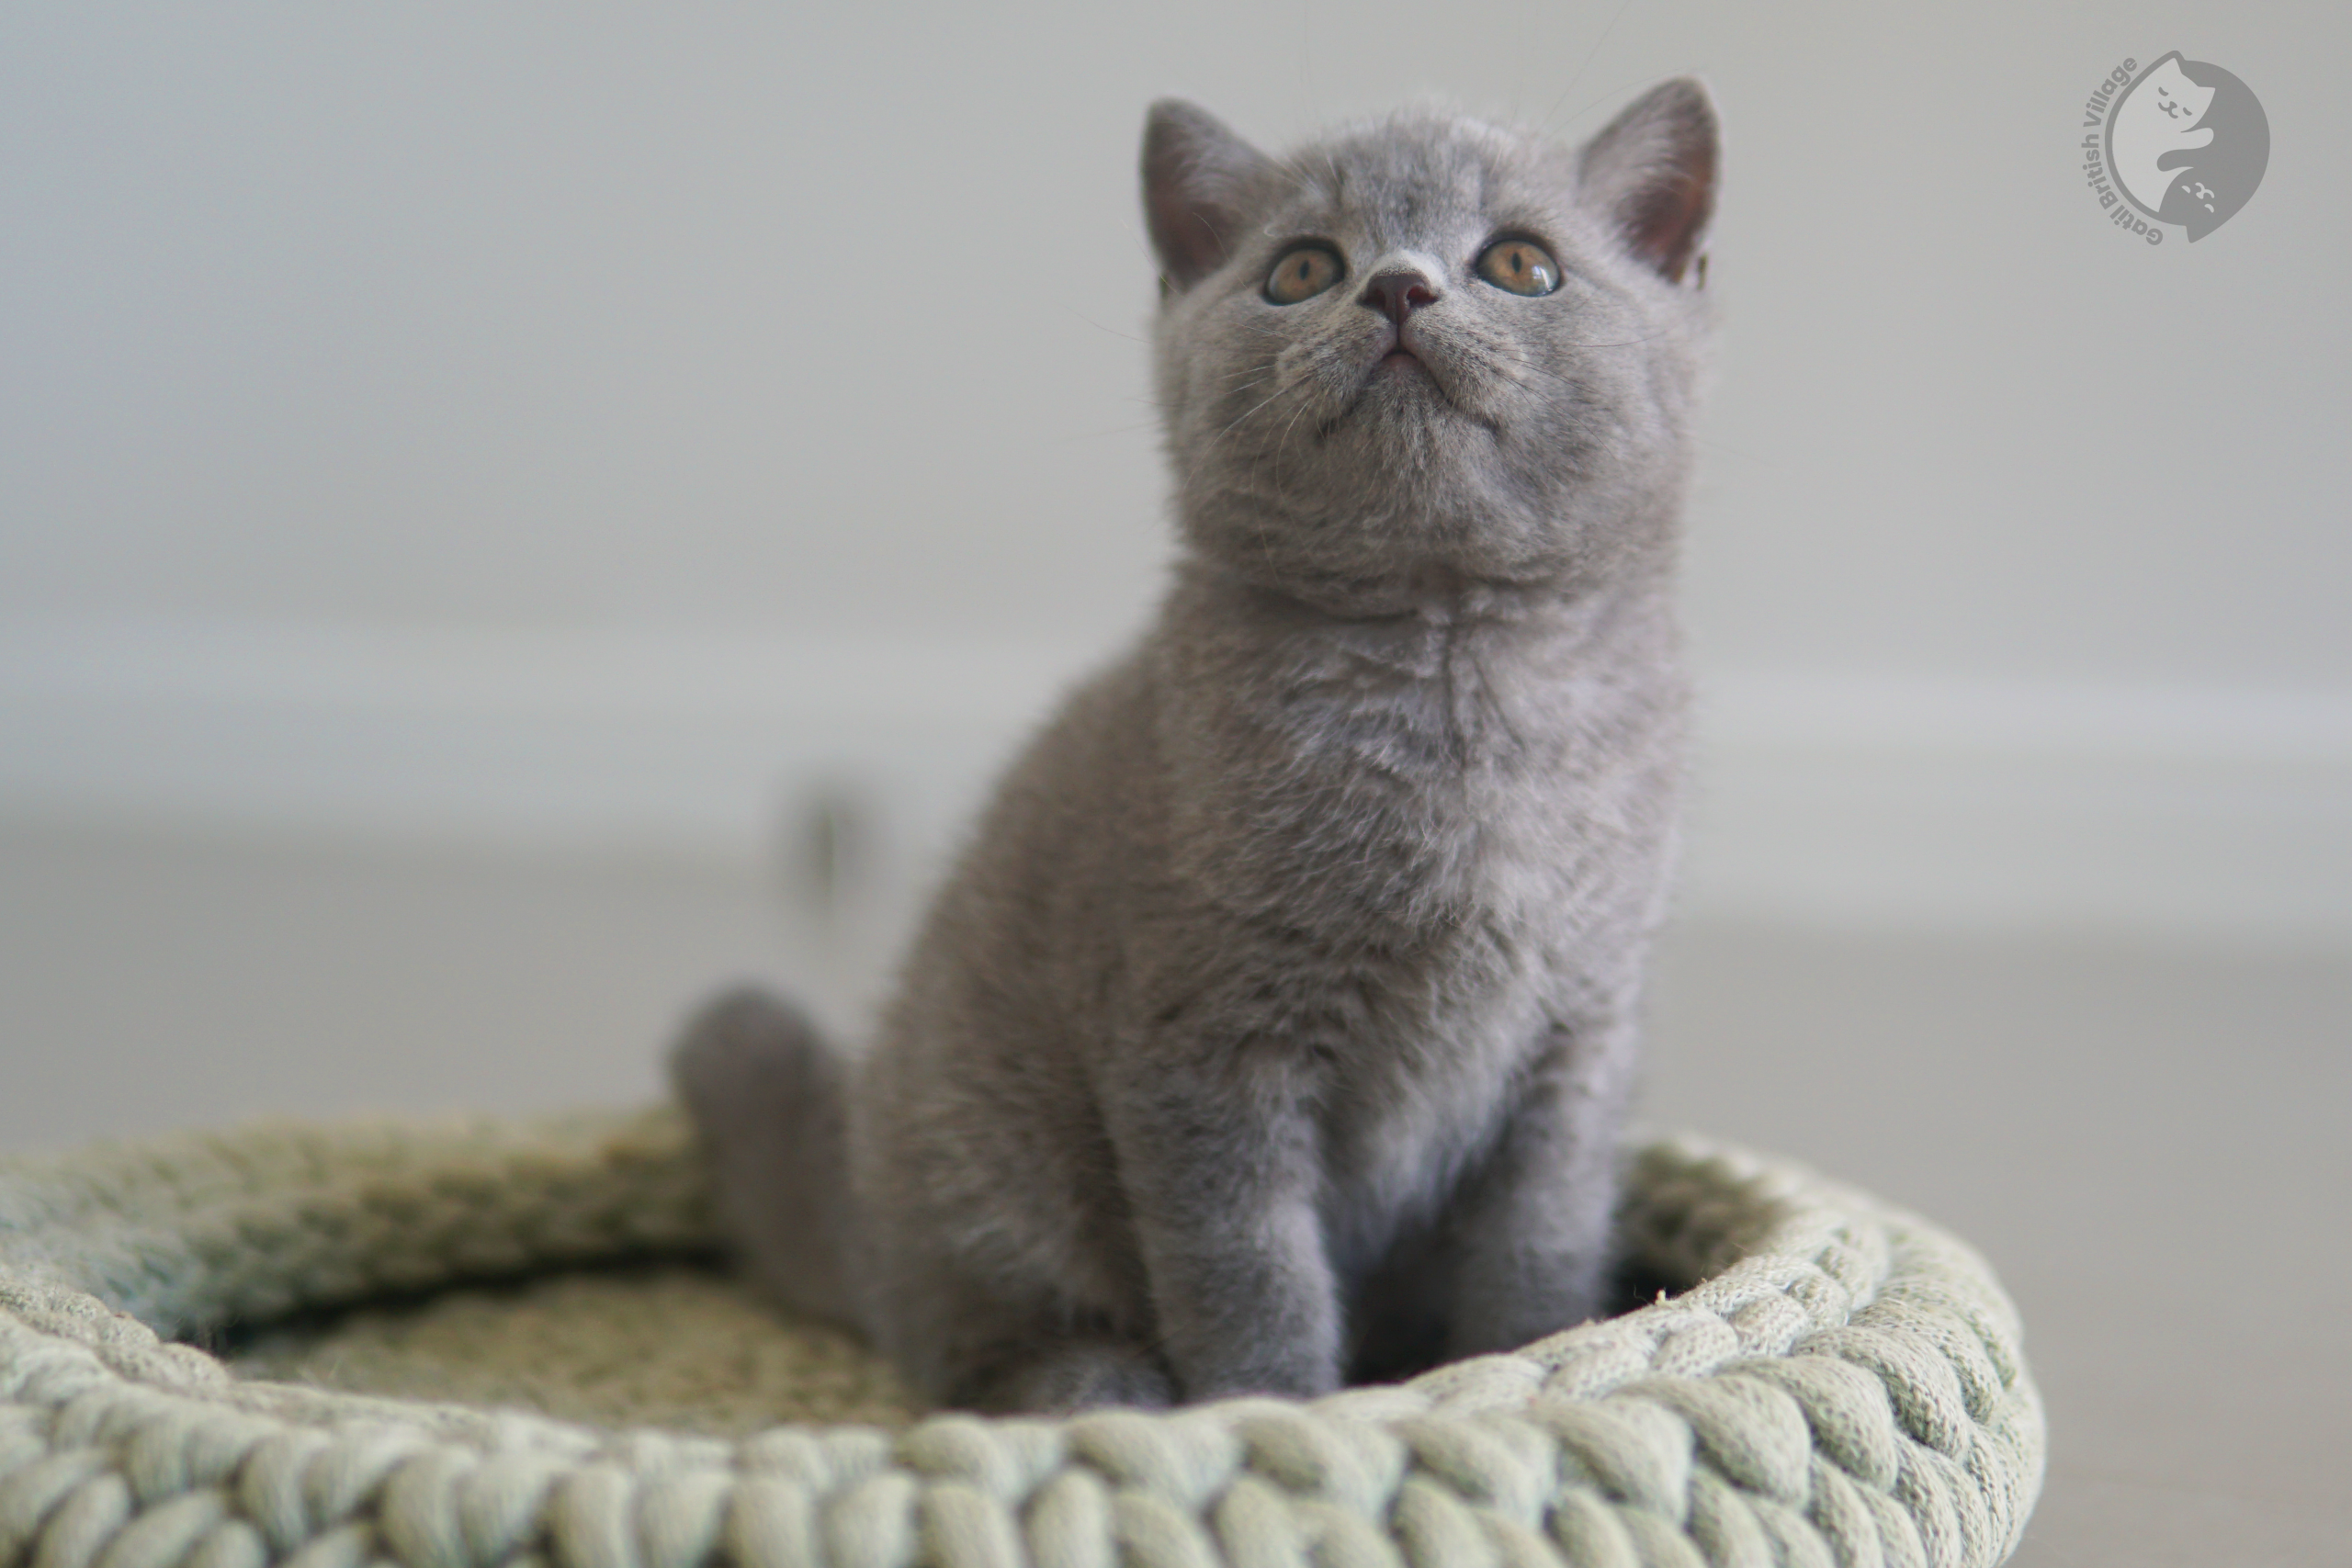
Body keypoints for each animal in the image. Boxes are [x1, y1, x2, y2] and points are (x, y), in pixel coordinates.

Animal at [673, 80, 1721, 1419]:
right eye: (1302, 268)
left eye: (1521, 264)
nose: (1397, 287)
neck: (1454, 681)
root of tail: (860, 1191)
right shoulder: (1205, 1042)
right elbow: (1249, 1268)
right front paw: (1272, 1414)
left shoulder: (1576, 1045)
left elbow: (1535, 1249)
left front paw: (1529, 1372)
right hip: (985, 1155)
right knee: (985, 1344)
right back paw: (1100, 1392)